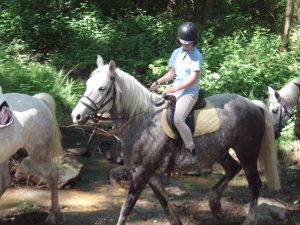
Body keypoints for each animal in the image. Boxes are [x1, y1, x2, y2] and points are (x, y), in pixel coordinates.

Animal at [0, 85, 61, 223]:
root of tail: (38, 99)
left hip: (39, 153)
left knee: (53, 177)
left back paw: (53, 215)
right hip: (5, 155)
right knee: (5, 181)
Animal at [71, 55, 280, 225]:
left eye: (102, 88)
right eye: (87, 85)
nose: (77, 116)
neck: (142, 122)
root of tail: (252, 103)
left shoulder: (141, 174)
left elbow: (126, 210)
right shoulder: (151, 175)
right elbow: (165, 203)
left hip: (247, 152)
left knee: (255, 183)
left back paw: (248, 219)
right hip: (220, 151)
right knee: (232, 168)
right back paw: (214, 202)